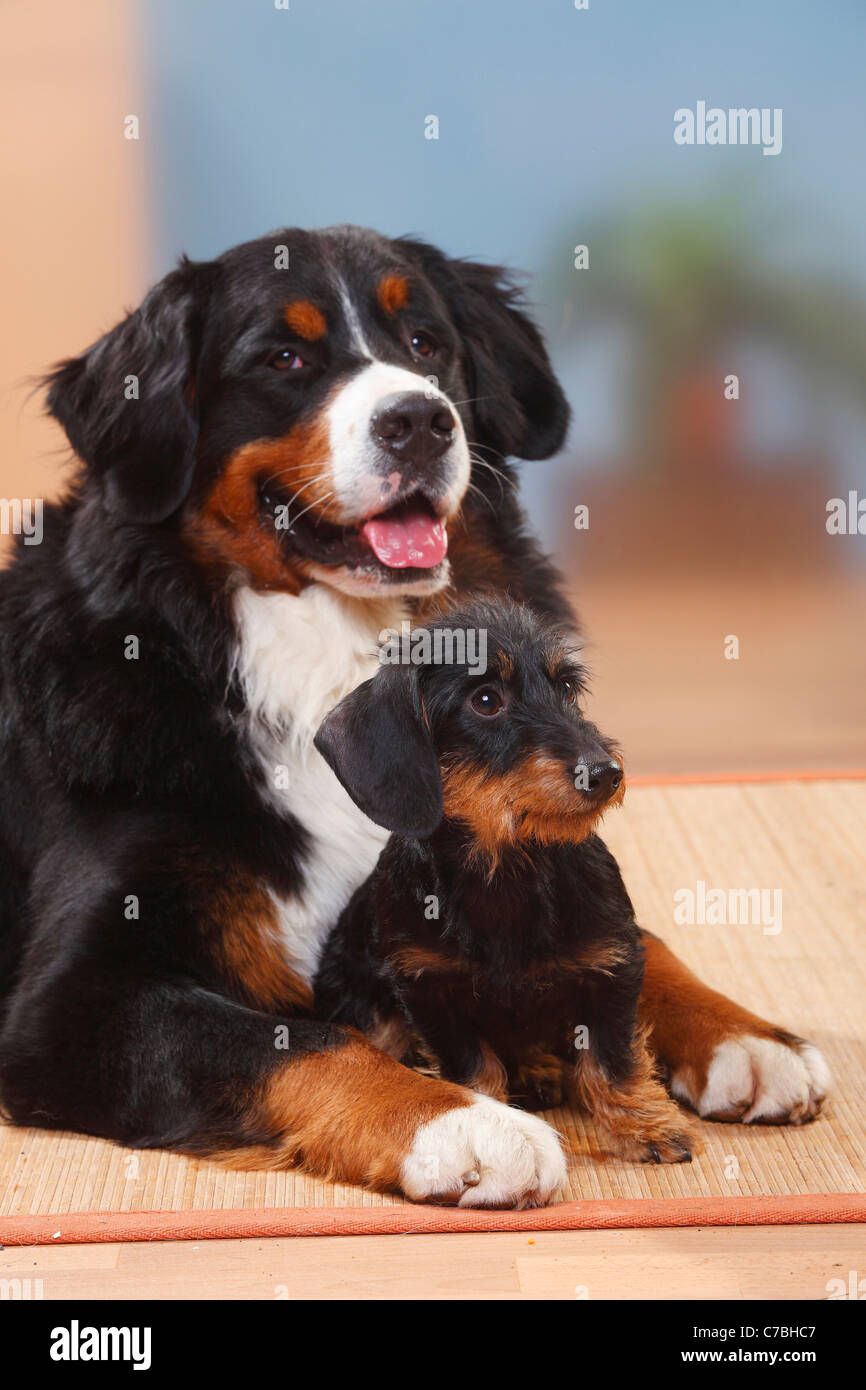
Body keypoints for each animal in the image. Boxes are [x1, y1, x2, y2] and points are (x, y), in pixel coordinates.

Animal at [316, 597, 697, 1162]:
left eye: (567, 689)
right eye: (486, 700)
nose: (605, 773)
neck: (505, 868)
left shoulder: (612, 967)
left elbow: (611, 1058)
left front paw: (647, 1127)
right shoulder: (427, 989)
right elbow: (474, 1066)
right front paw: (494, 1125)